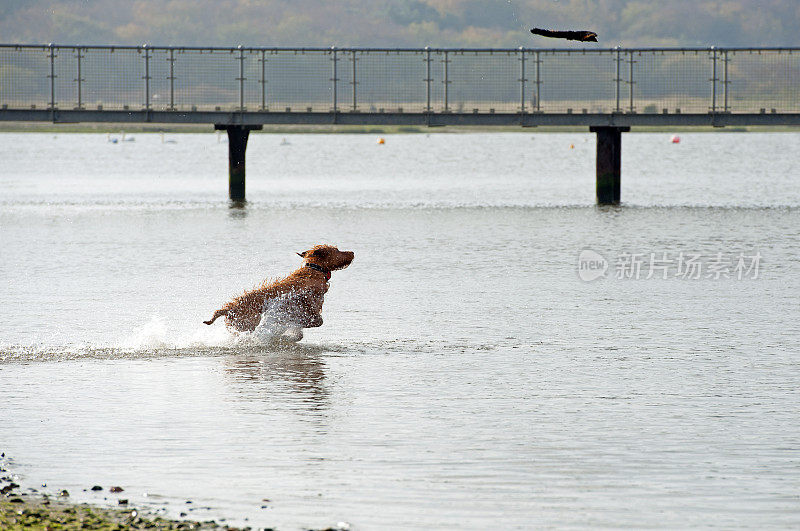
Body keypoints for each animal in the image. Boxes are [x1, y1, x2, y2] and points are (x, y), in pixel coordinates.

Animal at [205, 244, 354, 342]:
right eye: (337, 250)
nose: (352, 252)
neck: (315, 270)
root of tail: (227, 308)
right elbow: (316, 321)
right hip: (246, 324)